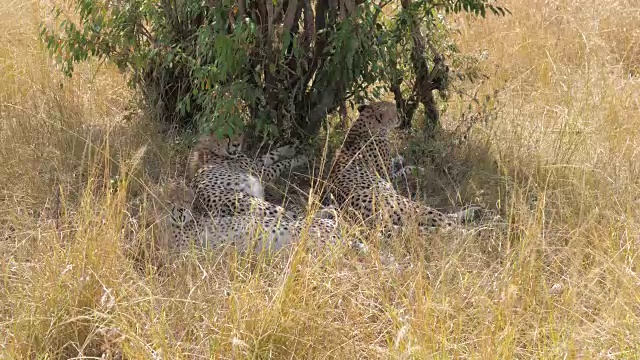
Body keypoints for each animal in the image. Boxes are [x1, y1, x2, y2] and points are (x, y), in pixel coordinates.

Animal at [324, 101, 460, 231]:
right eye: (395, 110)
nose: (401, 115)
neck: (366, 125)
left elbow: (397, 163)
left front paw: (399, 158)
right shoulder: (389, 177)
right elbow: (404, 170)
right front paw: (417, 169)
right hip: (410, 205)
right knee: (447, 223)